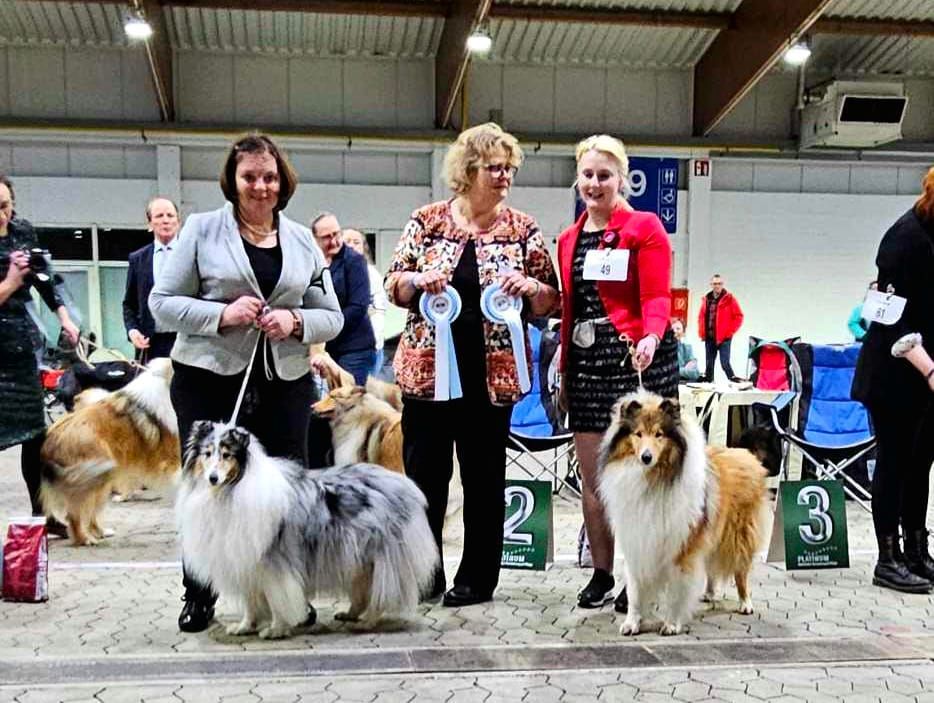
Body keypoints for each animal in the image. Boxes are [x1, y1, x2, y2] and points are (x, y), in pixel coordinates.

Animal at [39, 357, 179, 545]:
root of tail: (50, 438)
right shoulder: (172, 459)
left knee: (90, 512)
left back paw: (100, 532)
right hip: (92, 476)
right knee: (75, 513)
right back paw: (85, 539)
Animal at [176, 421, 439, 639]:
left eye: (227, 455)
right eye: (206, 454)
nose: (212, 478)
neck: (232, 488)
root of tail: (405, 485)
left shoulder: (274, 565)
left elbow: (277, 599)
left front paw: (276, 629)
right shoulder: (248, 563)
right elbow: (251, 602)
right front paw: (244, 627)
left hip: (381, 558)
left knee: (381, 593)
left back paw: (367, 621)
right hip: (357, 559)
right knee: (363, 589)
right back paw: (351, 614)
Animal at [598, 390, 769, 636]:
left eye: (659, 434)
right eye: (638, 434)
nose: (646, 457)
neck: (655, 479)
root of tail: (745, 453)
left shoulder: (681, 547)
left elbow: (676, 591)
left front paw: (671, 624)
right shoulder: (637, 541)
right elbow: (635, 591)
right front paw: (632, 623)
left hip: (738, 537)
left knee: (741, 571)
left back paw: (745, 603)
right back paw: (709, 593)